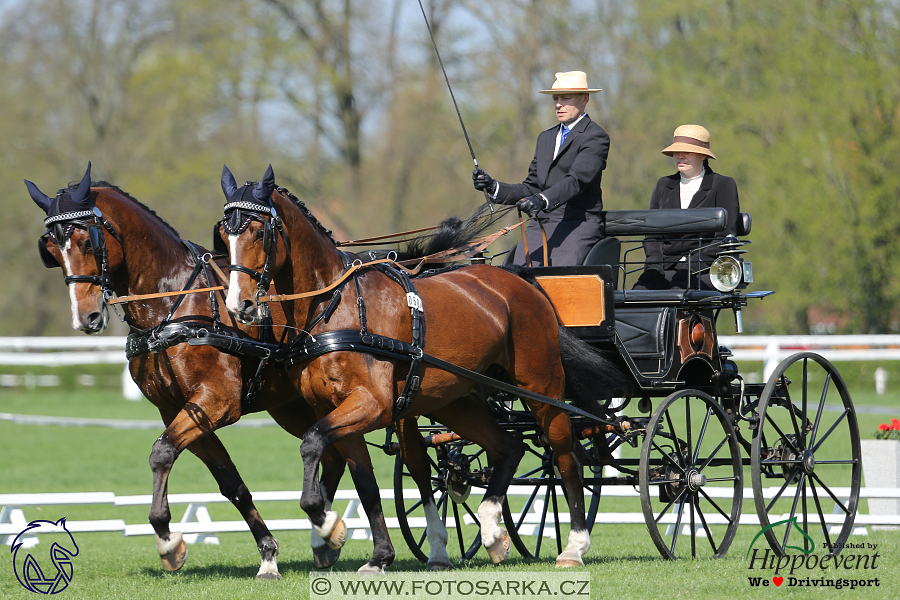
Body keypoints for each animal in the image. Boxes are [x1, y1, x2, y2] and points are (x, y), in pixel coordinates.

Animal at [25, 164, 356, 576]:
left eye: (88, 241)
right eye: (52, 249)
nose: (85, 318)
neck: (173, 304)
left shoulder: (216, 402)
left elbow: (162, 451)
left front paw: (168, 540)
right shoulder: (180, 409)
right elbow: (229, 482)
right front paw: (266, 553)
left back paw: (328, 528)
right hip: (292, 407)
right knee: (332, 453)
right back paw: (324, 536)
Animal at [219, 166, 628, 568]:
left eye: (258, 232)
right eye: (224, 235)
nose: (239, 305)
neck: (334, 306)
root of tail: (520, 280)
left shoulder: (373, 404)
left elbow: (312, 444)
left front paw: (326, 522)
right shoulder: (332, 408)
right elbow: (363, 480)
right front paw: (374, 553)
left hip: (542, 388)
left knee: (565, 456)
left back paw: (573, 546)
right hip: (456, 402)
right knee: (509, 448)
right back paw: (493, 534)